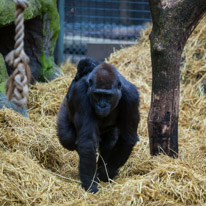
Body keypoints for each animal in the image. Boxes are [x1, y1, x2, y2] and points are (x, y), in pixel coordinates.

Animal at [56, 58, 140, 193]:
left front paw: (107, 173)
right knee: (67, 138)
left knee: (109, 142)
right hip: (65, 107)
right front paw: (91, 184)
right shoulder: (81, 95)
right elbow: (87, 141)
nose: (102, 105)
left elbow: (127, 138)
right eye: (97, 94)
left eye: (108, 96)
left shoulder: (131, 97)